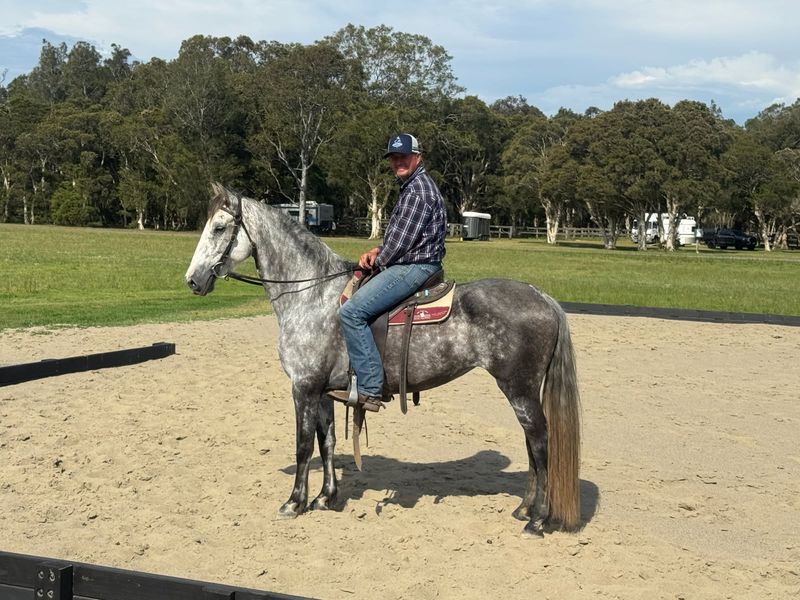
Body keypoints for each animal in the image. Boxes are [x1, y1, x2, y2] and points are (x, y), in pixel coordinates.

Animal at [185, 183, 582, 536]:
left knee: (541, 443)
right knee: (531, 445)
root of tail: (542, 296)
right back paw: (524, 508)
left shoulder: (304, 387)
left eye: (219, 227)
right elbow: (327, 442)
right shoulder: (325, 392)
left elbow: (302, 445)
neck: (313, 294)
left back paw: (537, 520)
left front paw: (294, 502)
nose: (192, 281)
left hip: (520, 389)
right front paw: (326, 498)